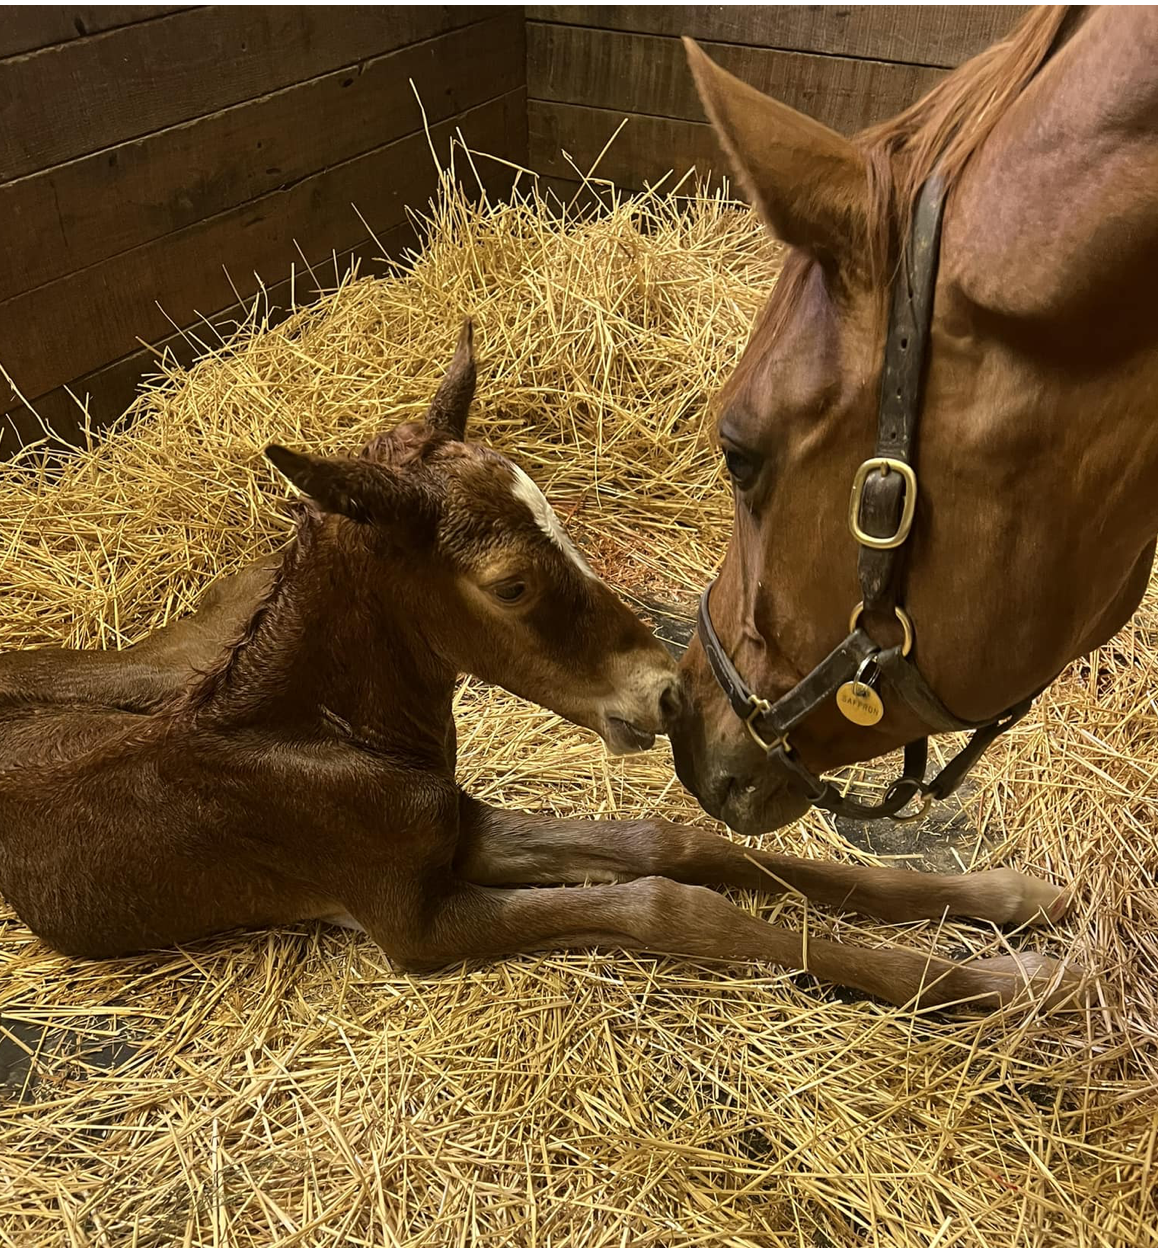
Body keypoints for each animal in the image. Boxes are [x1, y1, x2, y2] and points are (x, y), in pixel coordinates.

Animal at [4, 326, 1083, 1008]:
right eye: (513, 585)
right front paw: (1019, 981)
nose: (667, 693)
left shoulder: (461, 828)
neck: (318, 736)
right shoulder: (414, 925)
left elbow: (669, 844)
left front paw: (1015, 904)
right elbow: (664, 902)